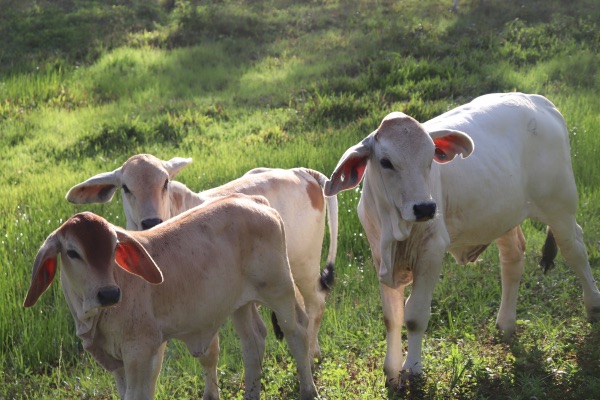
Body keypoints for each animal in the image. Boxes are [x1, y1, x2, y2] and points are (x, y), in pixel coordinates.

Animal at [22, 195, 318, 400]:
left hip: (279, 289)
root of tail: (255, 201)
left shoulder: (142, 351)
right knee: (253, 342)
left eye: (114, 248)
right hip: (240, 304)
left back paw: (308, 390)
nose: (108, 293)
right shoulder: (116, 362)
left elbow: (138, 395)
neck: (95, 319)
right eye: (72, 253)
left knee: (296, 332)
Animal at [324, 92, 600, 386]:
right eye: (386, 162)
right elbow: (392, 317)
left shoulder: (431, 252)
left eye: (430, 158)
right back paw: (505, 323)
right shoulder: (379, 257)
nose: (425, 208)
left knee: (575, 249)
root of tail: (538, 100)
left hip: (559, 206)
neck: (395, 228)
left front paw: (412, 368)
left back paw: (593, 306)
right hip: (502, 215)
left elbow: (414, 315)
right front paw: (391, 370)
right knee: (513, 259)